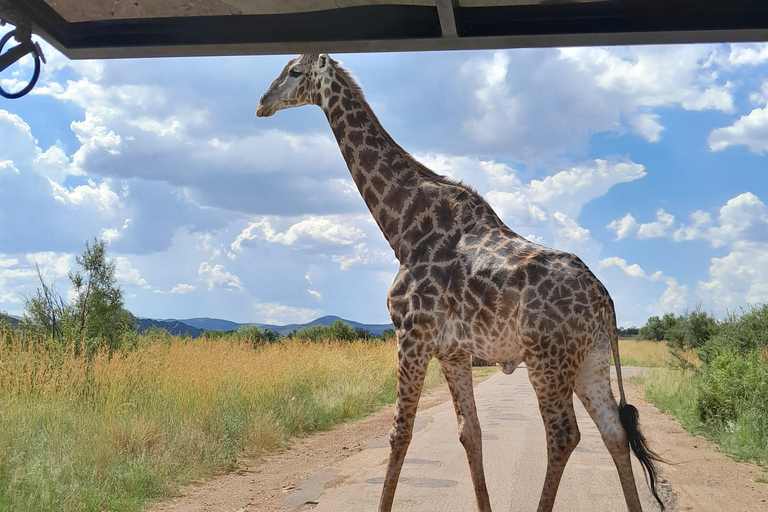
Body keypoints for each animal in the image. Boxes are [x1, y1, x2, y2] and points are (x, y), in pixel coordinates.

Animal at [255, 54, 664, 510]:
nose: (262, 103)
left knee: (563, 435)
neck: (402, 228)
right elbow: (471, 433)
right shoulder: (452, 352)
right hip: (590, 357)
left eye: (294, 71)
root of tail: (604, 300)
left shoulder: (412, 335)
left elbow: (400, 433)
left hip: (548, 358)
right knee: (614, 431)